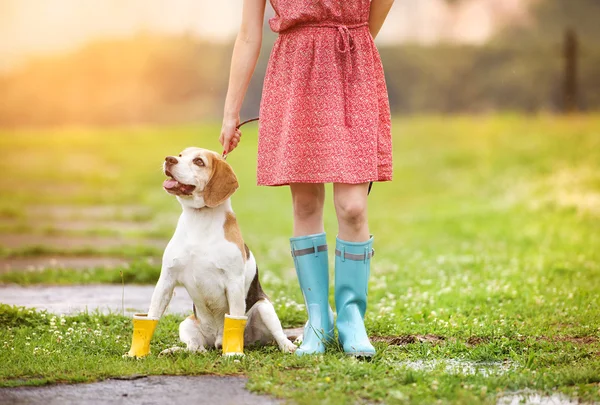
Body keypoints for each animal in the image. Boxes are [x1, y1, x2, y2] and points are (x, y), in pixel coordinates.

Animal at [150, 147, 296, 352]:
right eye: (180, 155)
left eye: (199, 161)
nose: (169, 159)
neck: (199, 219)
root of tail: (216, 340)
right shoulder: (166, 279)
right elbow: (152, 316)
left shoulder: (233, 282)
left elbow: (234, 317)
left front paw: (233, 353)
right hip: (187, 324)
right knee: (195, 348)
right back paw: (176, 351)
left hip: (264, 309)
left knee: (279, 336)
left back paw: (288, 347)